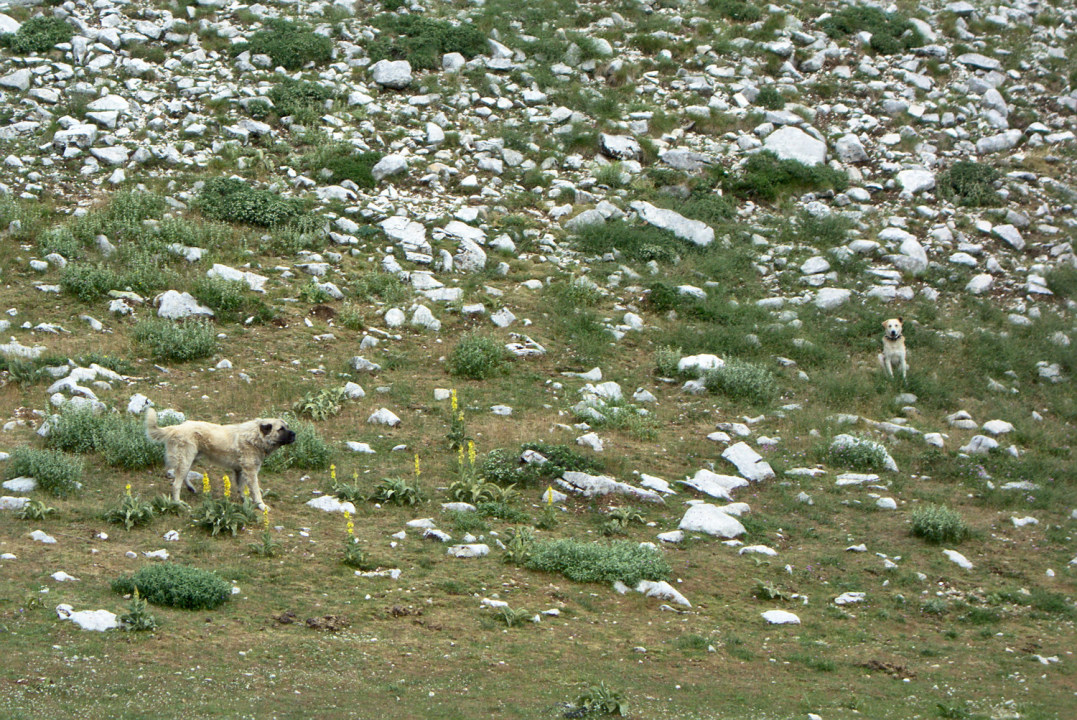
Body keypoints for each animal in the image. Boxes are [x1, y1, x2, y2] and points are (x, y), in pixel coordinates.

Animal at [143, 406, 297, 507]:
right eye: (281, 429)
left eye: (287, 426)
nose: (294, 434)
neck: (256, 436)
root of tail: (176, 427)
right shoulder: (251, 472)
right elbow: (255, 491)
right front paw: (261, 505)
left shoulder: (240, 471)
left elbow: (242, 488)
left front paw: (245, 501)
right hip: (186, 459)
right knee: (176, 484)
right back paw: (178, 502)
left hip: (191, 459)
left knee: (181, 476)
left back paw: (191, 488)